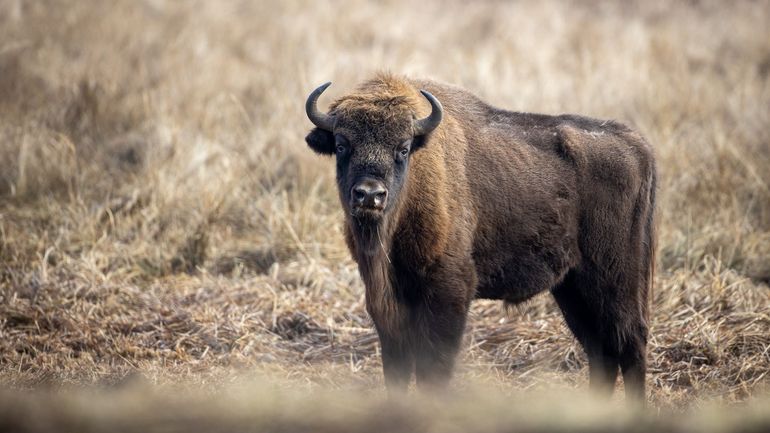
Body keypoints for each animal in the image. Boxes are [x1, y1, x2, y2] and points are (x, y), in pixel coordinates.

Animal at [304, 73, 656, 401]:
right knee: (601, 350)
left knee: (630, 341)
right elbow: (398, 369)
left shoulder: (448, 292)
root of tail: (637, 145)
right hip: (573, 288)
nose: (369, 195)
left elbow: (434, 367)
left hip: (613, 281)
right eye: (341, 145)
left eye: (402, 148)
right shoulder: (387, 301)